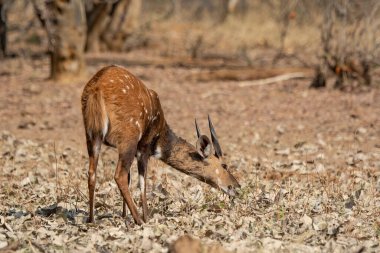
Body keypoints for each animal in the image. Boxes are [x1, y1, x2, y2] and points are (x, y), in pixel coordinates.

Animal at [81, 65, 239, 225]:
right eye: (224, 165)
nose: (236, 187)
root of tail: (97, 88)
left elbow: (131, 178)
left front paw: (124, 216)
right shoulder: (143, 147)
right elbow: (142, 182)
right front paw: (146, 217)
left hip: (92, 136)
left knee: (92, 173)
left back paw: (91, 219)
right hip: (129, 138)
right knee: (119, 175)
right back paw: (139, 220)